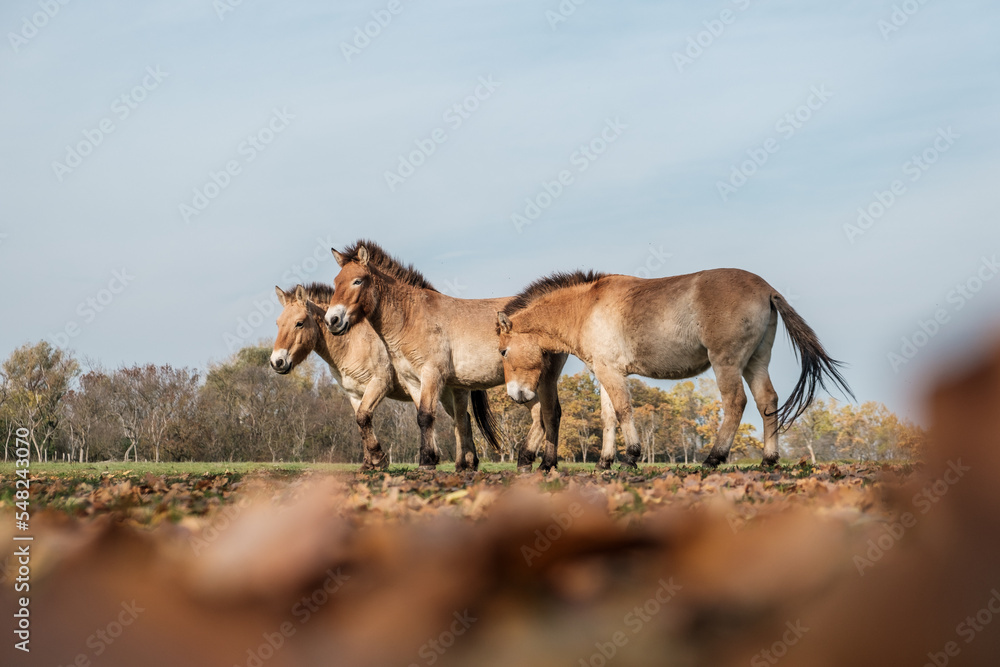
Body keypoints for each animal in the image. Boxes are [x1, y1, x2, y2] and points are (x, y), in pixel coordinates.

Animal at [271, 283, 499, 471]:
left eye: (299, 323)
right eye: (278, 323)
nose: (277, 362)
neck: (352, 342)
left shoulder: (379, 384)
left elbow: (364, 417)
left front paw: (379, 459)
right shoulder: (354, 394)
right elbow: (361, 422)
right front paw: (368, 463)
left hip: (454, 391)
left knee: (461, 421)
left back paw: (464, 464)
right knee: (463, 420)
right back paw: (468, 463)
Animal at [322, 241, 568, 471]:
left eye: (357, 281)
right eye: (335, 282)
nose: (332, 320)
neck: (412, 317)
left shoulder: (432, 374)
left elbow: (426, 416)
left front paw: (426, 462)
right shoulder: (413, 381)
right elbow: (424, 417)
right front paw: (431, 459)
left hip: (543, 378)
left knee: (550, 414)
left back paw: (546, 464)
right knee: (539, 414)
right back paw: (525, 460)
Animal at [495, 269, 854, 469]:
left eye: (502, 350)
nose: (516, 395)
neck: (586, 308)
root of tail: (766, 289)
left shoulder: (612, 374)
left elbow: (624, 411)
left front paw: (631, 456)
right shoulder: (605, 373)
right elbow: (608, 417)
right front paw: (605, 462)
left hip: (726, 363)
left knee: (735, 403)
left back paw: (713, 458)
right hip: (756, 362)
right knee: (768, 402)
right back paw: (768, 460)